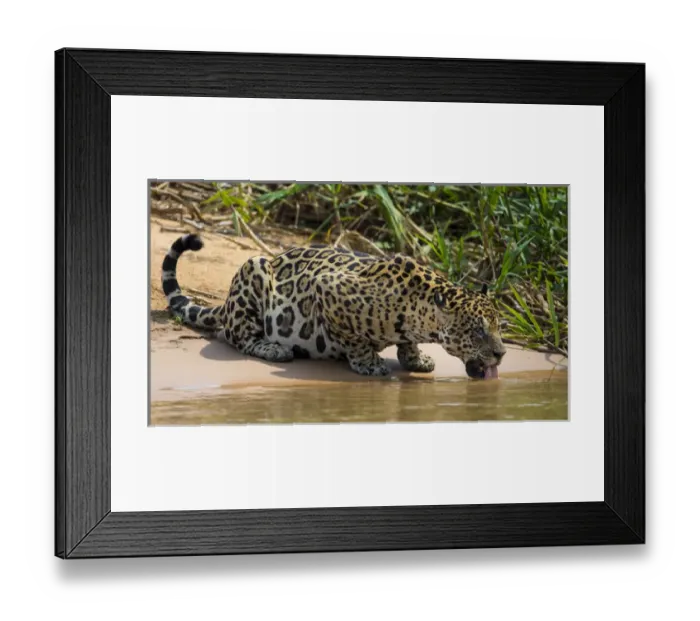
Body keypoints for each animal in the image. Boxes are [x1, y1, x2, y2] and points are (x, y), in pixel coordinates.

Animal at [161, 234, 507, 378]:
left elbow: (406, 344)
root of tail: (226, 302)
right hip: (254, 268)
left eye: (498, 326)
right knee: (237, 337)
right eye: (477, 332)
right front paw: (368, 363)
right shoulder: (328, 288)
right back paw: (273, 348)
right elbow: (353, 338)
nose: (502, 354)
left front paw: (416, 359)